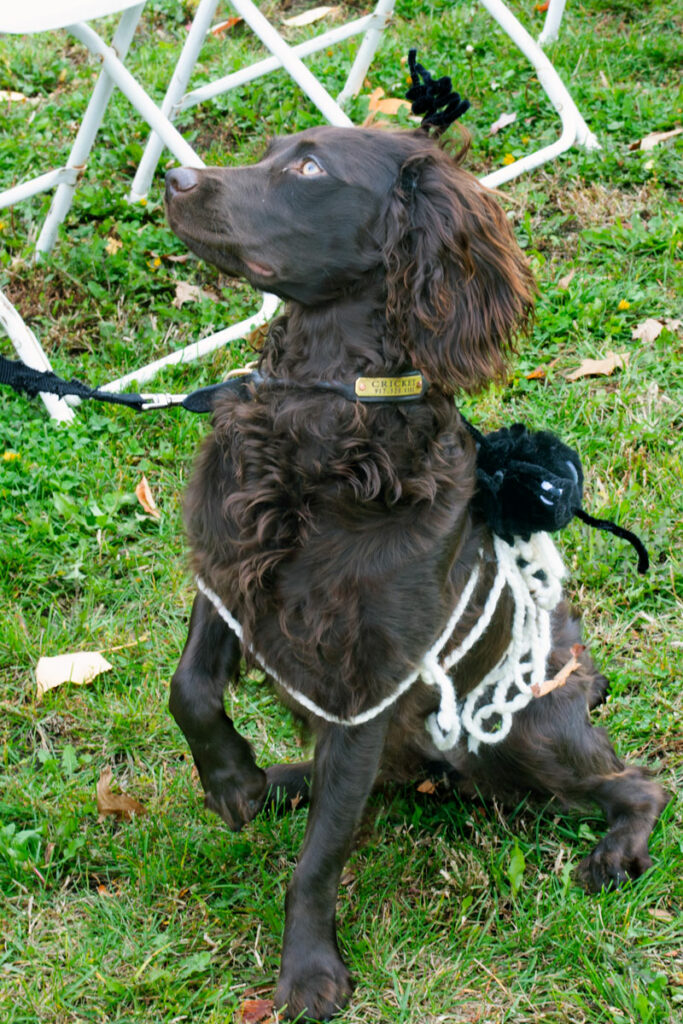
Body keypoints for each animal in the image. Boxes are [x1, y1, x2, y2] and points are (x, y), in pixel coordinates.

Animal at [162, 123, 663, 1019]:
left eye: (308, 167)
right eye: (270, 148)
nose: (172, 179)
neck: (327, 422)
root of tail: (583, 675)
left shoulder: (370, 681)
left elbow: (320, 857)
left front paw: (307, 972)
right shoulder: (229, 571)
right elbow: (187, 689)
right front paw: (233, 780)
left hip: (527, 736)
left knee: (637, 783)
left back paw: (615, 849)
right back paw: (281, 778)